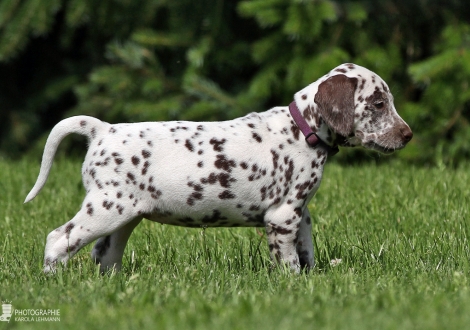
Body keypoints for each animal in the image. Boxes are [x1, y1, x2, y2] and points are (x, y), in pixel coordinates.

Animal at [25, 62, 412, 274]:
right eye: (378, 103)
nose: (408, 135)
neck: (301, 130)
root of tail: (102, 129)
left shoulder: (300, 215)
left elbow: (307, 255)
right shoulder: (282, 216)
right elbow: (288, 263)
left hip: (125, 216)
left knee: (104, 254)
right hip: (106, 208)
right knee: (59, 239)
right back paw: (53, 281)